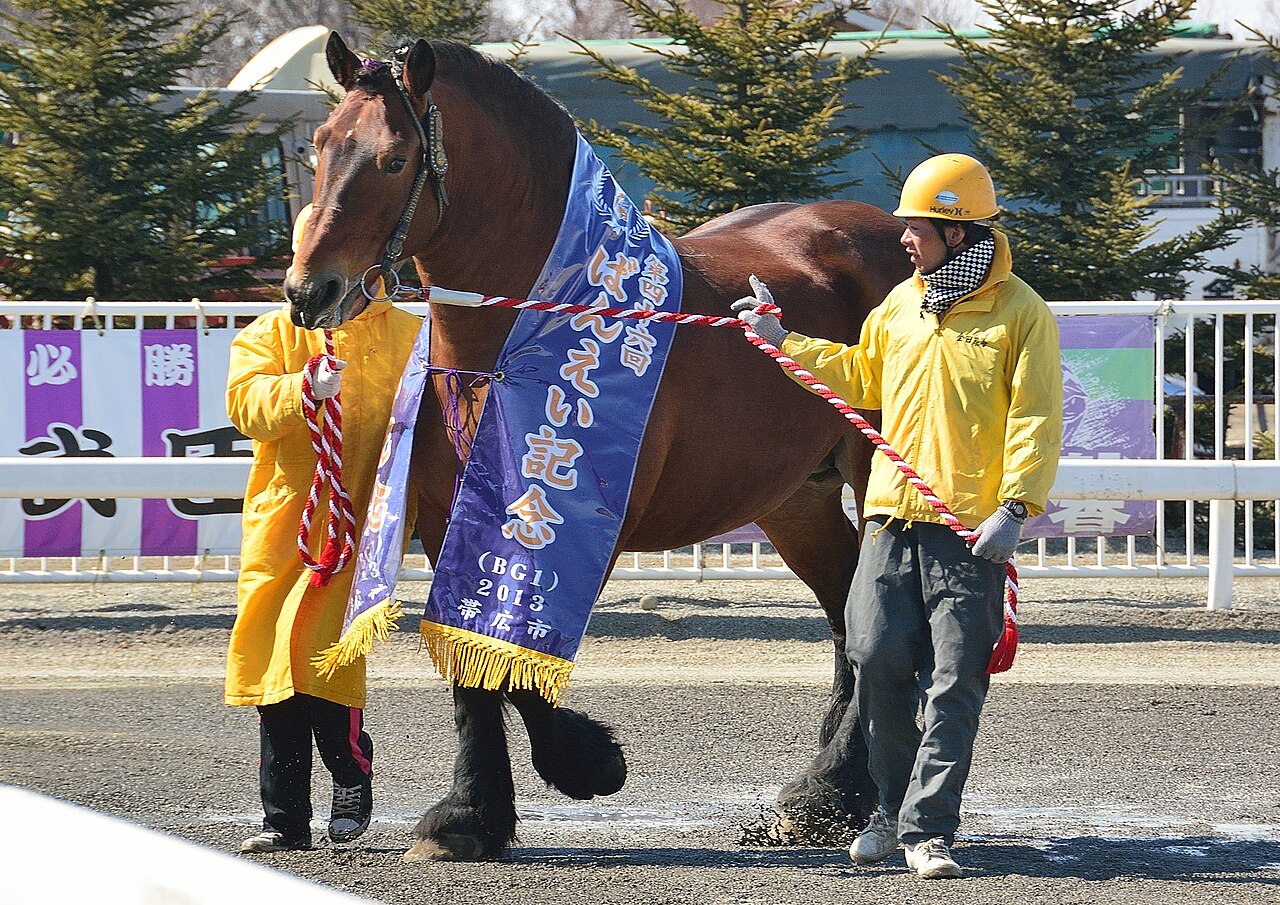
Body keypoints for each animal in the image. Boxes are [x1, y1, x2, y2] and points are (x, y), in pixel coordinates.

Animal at [285, 33, 914, 862]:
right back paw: (831, 790)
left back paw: (833, 788)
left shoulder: (580, 522)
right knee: (845, 614)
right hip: (796, 499)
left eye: (393, 160)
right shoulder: (450, 518)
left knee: (871, 618)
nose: (308, 292)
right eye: (322, 145)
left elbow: (519, 662)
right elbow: (471, 662)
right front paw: (472, 813)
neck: (526, 334)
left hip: (878, 475)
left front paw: (587, 762)